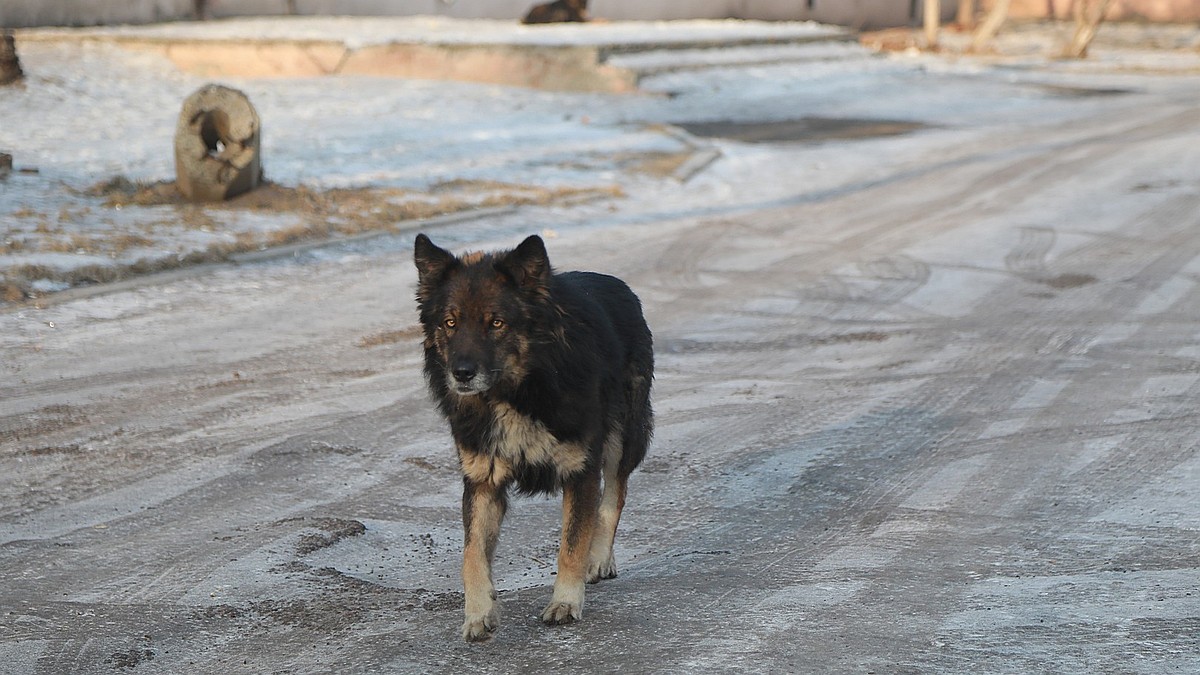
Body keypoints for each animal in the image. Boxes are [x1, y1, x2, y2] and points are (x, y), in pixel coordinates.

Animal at [415, 234, 657, 638]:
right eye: (450, 323)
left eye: (496, 323)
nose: (461, 374)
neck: (517, 392)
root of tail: (617, 284)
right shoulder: (481, 479)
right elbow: (471, 554)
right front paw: (478, 613)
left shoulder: (580, 469)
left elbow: (572, 544)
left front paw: (565, 602)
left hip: (621, 438)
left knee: (615, 496)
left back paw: (599, 559)